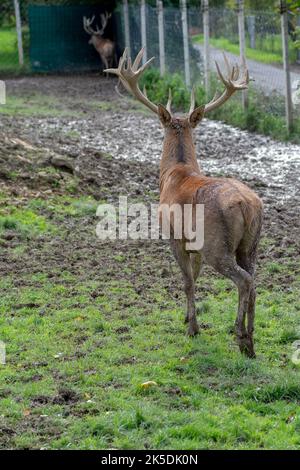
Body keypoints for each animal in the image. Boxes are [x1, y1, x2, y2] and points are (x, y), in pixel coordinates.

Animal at [105, 48, 262, 356]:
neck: (174, 174)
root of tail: (247, 206)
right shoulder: (195, 245)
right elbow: (196, 277)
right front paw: (187, 317)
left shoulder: (174, 235)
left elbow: (188, 280)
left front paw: (193, 328)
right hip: (250, 244)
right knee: (254, 282)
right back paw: (250, 342)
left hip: (217, 245)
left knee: (244, 280)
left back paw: (240, 335)